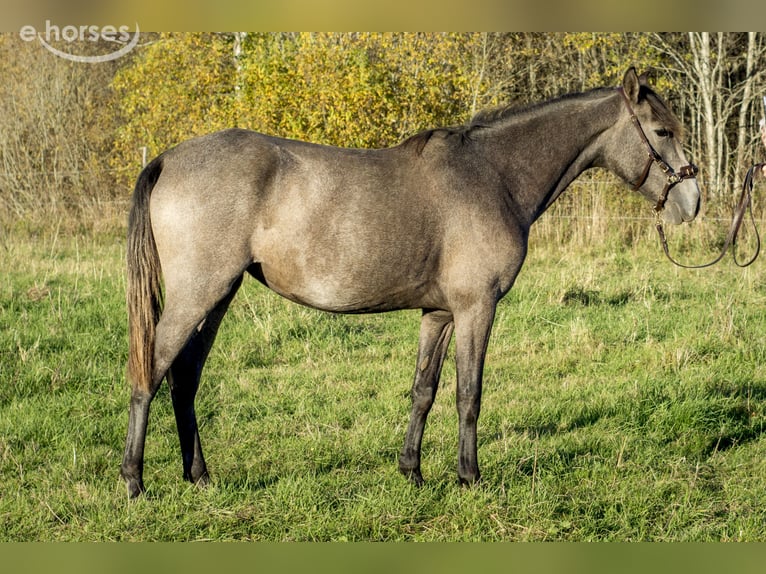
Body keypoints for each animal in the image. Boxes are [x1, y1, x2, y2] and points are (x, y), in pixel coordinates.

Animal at [120, 68, 700, 497]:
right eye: (663, 132)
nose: (692, 203)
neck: (493, 176)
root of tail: (168, 158)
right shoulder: (476, 308)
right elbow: (469, 393)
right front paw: (470, 477)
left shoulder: (439, 313)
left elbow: (424, 390)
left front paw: (412, 471)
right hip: (199, 295)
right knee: (151, 371)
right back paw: (134, 481)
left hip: (217, 296)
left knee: (184, 377)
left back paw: (199, 476)